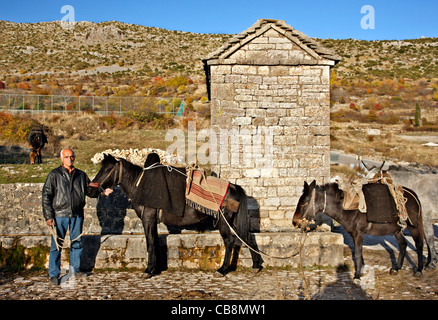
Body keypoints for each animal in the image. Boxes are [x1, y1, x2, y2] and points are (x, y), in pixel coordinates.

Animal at [89, 154, 264, 278]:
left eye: (107, 170)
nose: (90, 190)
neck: (140, 186)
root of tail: (233, 186)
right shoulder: (152, 221)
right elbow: (155, 241)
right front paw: (155, 268)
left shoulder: (147, 219)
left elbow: (150, 243)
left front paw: (148, 270)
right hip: (233, 221)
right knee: (246, 238)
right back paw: (255, 265)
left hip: (223, 221)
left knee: (229, 242)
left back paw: (222, 269)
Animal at [292, 181, 426, 278]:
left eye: (304, 201)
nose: (294, 222)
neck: (347, 207)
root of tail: (413, 194)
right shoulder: (353, 234)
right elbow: (359, 252)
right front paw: (361, 270)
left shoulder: (359, 234)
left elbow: (357, 253)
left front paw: (356, 276)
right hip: (396, 229)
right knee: (403, 244)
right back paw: (397, 268)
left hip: (414, 226)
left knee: (419, 244)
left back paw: (419, 270)